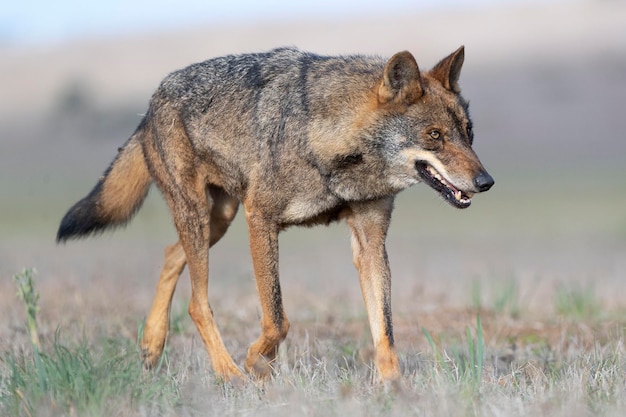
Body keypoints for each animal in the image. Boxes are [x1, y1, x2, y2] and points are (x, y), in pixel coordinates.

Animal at [56, 45, 492, 380]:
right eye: (435, 136)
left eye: (469, 133)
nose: (486, 181)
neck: (328, 143)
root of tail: (152, 100)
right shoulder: (260, 220)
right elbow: (278, 319)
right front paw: (256, 363)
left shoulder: (370, 243)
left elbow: (384, 330)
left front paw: (394, 390)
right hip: (202, 217)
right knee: (198, 302)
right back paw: (228, 374)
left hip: (218, 220)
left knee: (169, 256)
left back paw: (151, 345)